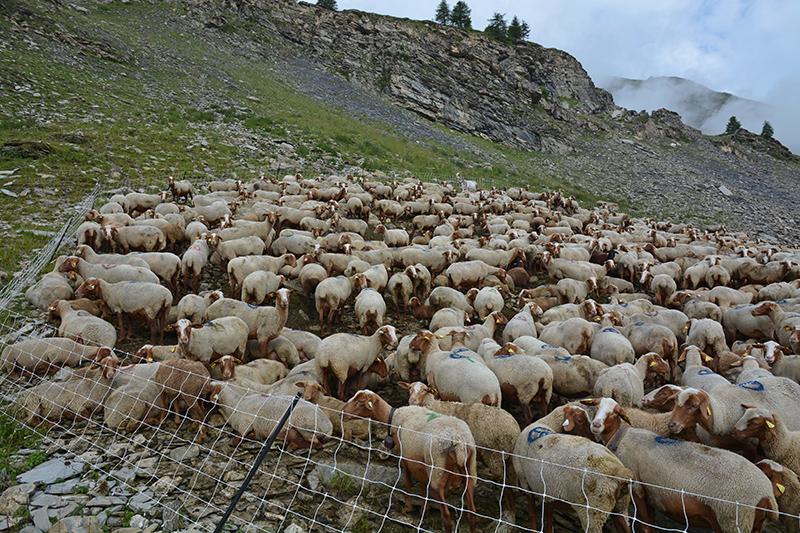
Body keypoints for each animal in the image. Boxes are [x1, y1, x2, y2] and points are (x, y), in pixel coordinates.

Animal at [342, 386, 476, 532]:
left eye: (360, 402)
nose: (342, 413)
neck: (392, 417)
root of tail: (458, 439)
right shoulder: (419, 461)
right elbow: (423, 486)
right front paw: (424, 510)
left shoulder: (405, 456)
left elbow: (407, 481)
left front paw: (408, 508)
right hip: (469, 467)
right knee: (472, 513)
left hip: (436, 464)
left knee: (446, 516)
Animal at [588, 394, 776, 532]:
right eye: (596, 408)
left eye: (614, 413)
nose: (595, 425)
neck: (620, 437)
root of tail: (767, 495)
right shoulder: (650, 493)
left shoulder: (637, 490)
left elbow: (645, 525)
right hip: (753, 525)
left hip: (732, 521)